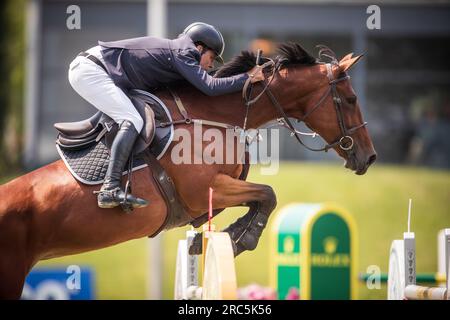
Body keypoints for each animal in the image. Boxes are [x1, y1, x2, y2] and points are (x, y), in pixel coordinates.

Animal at [0, 42, 376, 298]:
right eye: (352, 99)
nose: (369, 158)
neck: (213, 115)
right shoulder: (205, 191)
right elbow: (268, 195)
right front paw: (241, 237)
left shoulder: (216, 193)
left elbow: (260, 199)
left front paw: (231, 234)